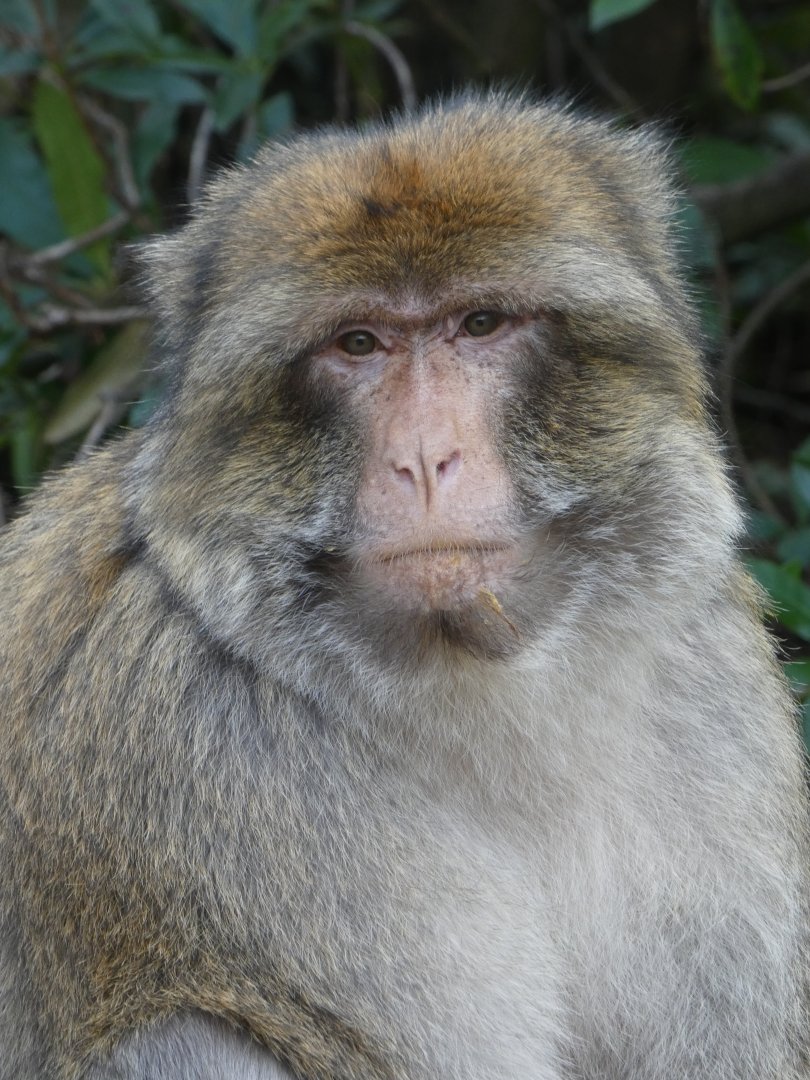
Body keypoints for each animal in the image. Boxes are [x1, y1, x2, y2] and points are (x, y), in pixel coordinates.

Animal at [0, 90, 807, 1080]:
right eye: (359, 344)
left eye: (481, 324)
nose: (426, 459)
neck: (484, 696)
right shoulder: (199, 757)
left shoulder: (705, 683)